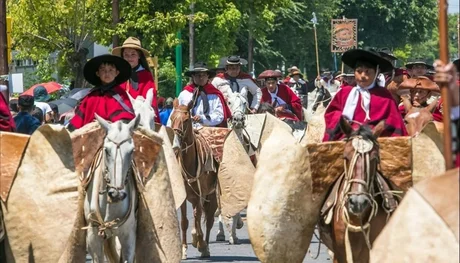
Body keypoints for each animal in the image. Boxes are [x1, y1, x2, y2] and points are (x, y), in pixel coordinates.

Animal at [169, 99, 219, 260]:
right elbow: (184, 221)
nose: (176, 145)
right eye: (172, 118)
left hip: (211, 196)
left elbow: (198, 218)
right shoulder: (185, 197)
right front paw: (184, 249)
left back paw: (205, 247)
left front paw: (200, 242)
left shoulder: (200, 196)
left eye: (186, 120)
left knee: (208, 220)